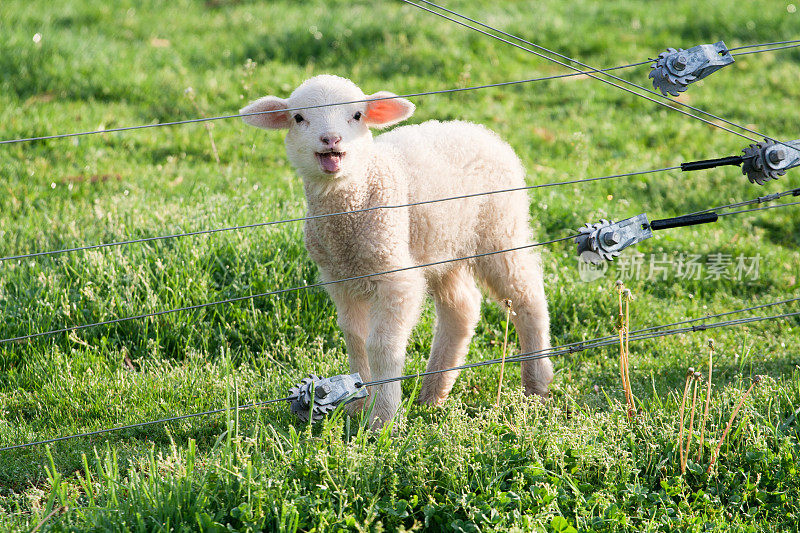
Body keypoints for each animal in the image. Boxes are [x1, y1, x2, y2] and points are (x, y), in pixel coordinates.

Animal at [239, 75, 552, 426]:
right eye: (298, 118)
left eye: (357, 115)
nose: (331, 139)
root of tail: (477, 129)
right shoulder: (339, 279)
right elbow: (355, 339)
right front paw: (358, 402)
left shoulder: (396, 278)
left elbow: (382, 345)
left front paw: (383, 418)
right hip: (441, 244)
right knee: (462, 307)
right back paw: (433, 393)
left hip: (500, 229)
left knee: (527, 295)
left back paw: (536, 386)